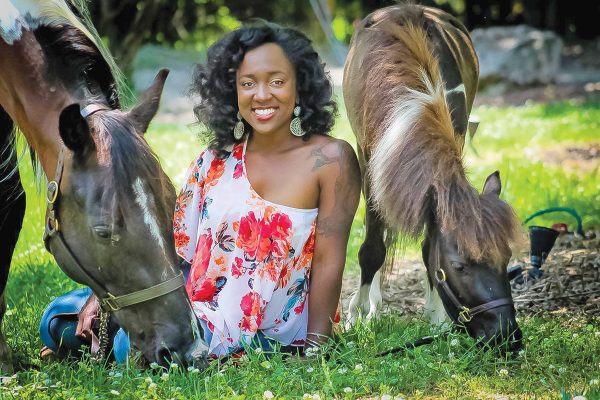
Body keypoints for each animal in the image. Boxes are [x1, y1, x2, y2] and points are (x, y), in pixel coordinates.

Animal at [344, 3, 524, 350]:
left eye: (507, 257)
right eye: (459, 266)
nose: (505, 335)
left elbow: (430, 244)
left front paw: (438, 317)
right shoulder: (368, 158)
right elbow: (372, 248)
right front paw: (356, 316)